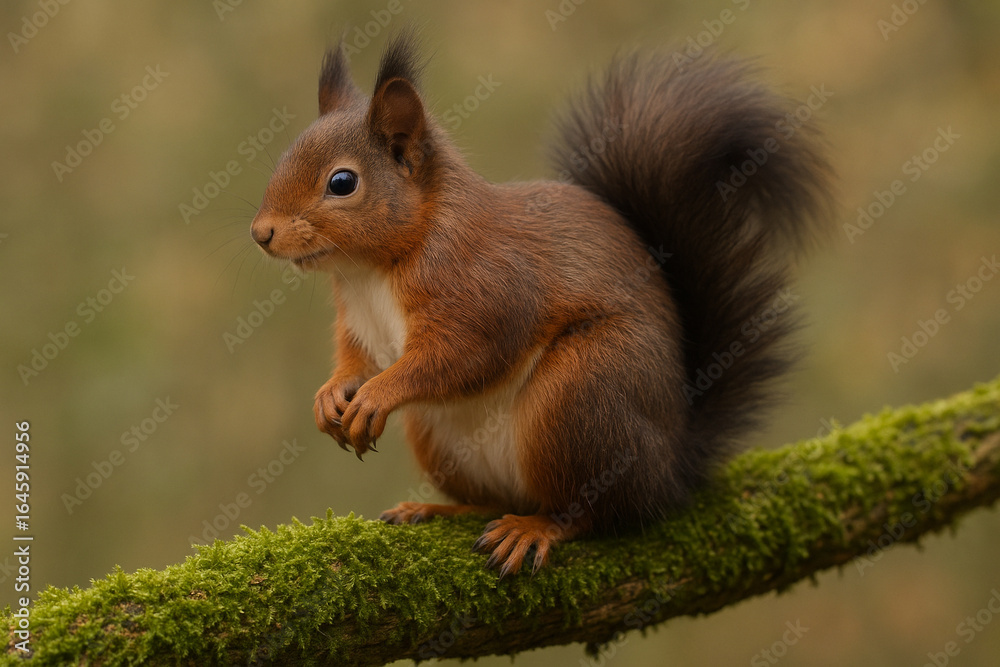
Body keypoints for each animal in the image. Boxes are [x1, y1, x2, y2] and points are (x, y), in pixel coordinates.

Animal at [250, 31, 832, 576]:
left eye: (342, 182)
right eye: (282, 158)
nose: (261, 234)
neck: (370, 271)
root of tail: (672, 469)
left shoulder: (486, 291)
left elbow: (459, 356)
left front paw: (377, 394)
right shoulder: (357, 320)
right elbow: (357, 358)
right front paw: (332, 393)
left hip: (581, 394)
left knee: (595, 511)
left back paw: (535, 528)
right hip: (442, 439)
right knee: (495, 499)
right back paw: (438, 510)